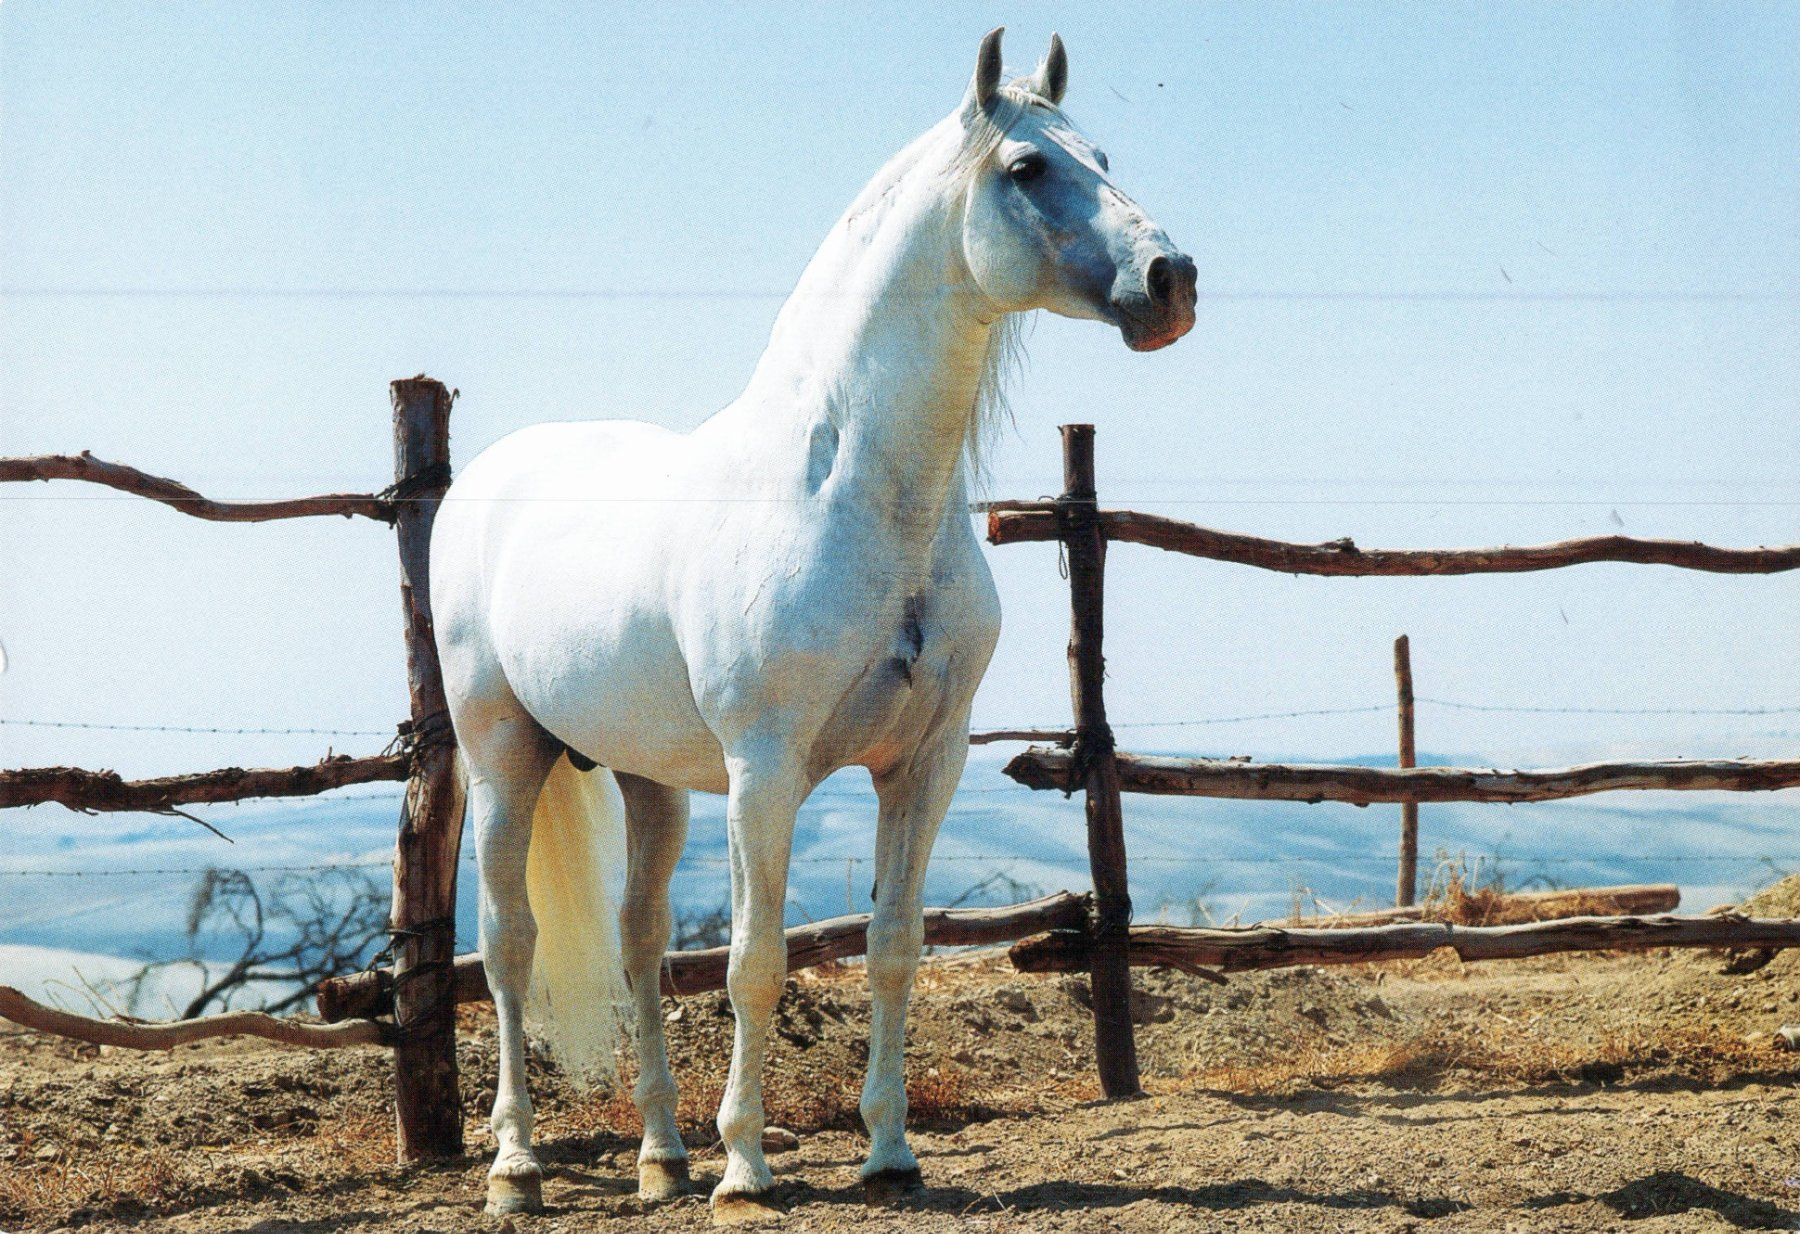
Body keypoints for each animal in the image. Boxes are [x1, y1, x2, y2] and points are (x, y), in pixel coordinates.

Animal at [430, 27, 1196, 1223]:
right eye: (1028, 168)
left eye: (1105, 155)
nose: (1170, 281)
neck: (855, 492)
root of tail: (484, 481)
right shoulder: (767, 769)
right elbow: (756, 962)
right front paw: (747, 1173)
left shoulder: (924, 766)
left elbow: (892, 946)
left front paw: (889, 1154)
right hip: (502, 753)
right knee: (510, 946)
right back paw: (518, 1170)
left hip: (649, 778)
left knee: (640, 941)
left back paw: (662, 1158)